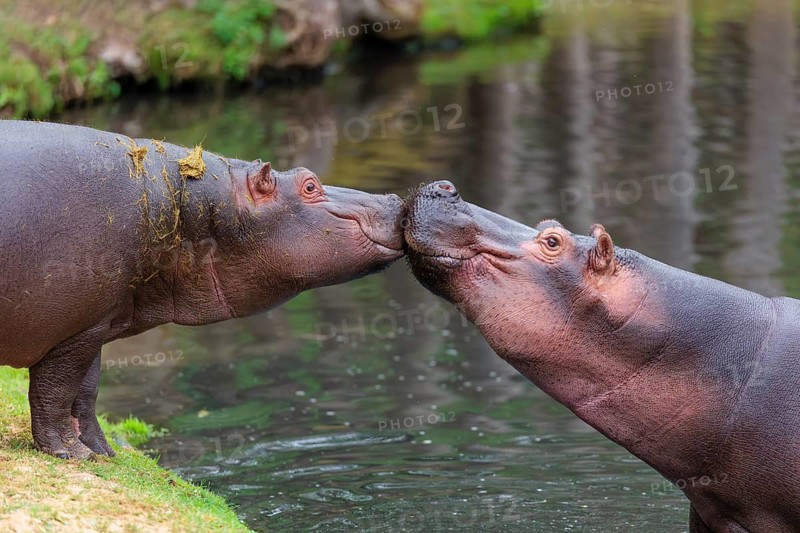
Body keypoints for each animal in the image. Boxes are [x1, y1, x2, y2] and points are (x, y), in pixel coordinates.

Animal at [0, 120, 403, 460]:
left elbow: (85, 393)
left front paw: (105, 453)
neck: (190, 205)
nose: (395, 199)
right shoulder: (73, 329)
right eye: (309, 185)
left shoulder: (95, 322)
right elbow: (55, 391)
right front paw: (71, 454)